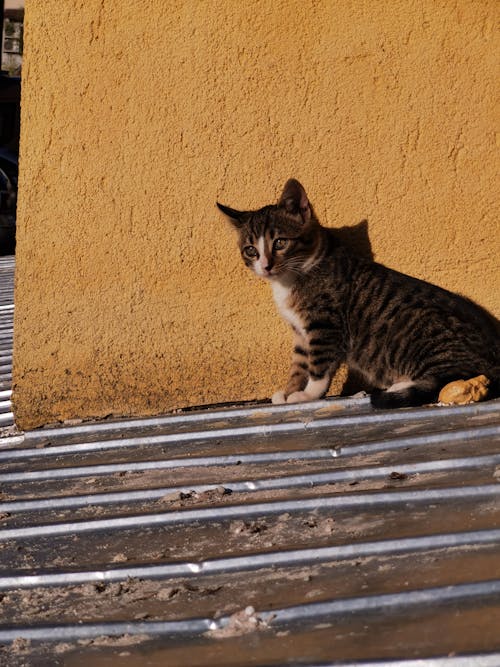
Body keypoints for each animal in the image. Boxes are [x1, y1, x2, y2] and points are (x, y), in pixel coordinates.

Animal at [218, 179, 500, 408]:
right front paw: (289, 391)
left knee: (453, 375)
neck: (291, 279)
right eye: (251, 250)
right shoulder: (300, 331)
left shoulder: (324, 325)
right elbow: (299, 363)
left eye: (280, 243)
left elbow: (319, 365)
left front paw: (308, 394)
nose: (265, 266)